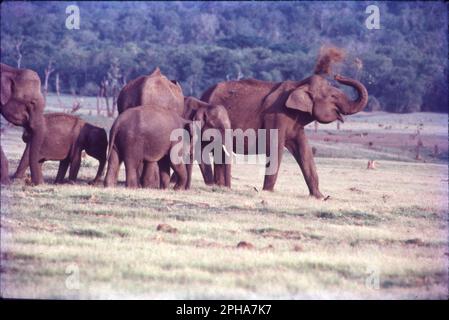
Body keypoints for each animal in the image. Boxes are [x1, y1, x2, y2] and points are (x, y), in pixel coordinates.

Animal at [200, 47, 368, 198]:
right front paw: (267, 192)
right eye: (333, 96)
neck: (298, 84)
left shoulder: (296, 124)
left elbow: (305, 151)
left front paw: (320, 197)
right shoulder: (276, 115)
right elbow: (275, 148)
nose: (337, 75)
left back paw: (220, 187)